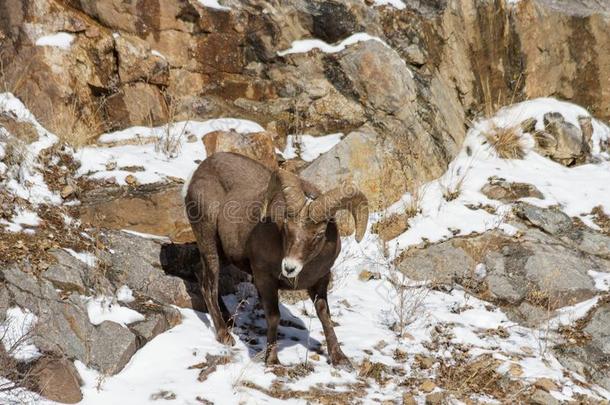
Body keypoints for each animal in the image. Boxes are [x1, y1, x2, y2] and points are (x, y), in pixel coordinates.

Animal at [184, 152, 366, 366]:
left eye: (319, 234)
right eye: (287, 226)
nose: (289, 268)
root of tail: (198, 172)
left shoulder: (321, 281)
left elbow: (325, 317)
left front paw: (340, 358)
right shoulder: (264, 279)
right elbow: (273, 317)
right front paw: (272, 359)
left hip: (223, 253)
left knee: (199, 271)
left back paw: (229, 320)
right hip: (209, 241)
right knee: (209, 286)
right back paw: (224, 334)